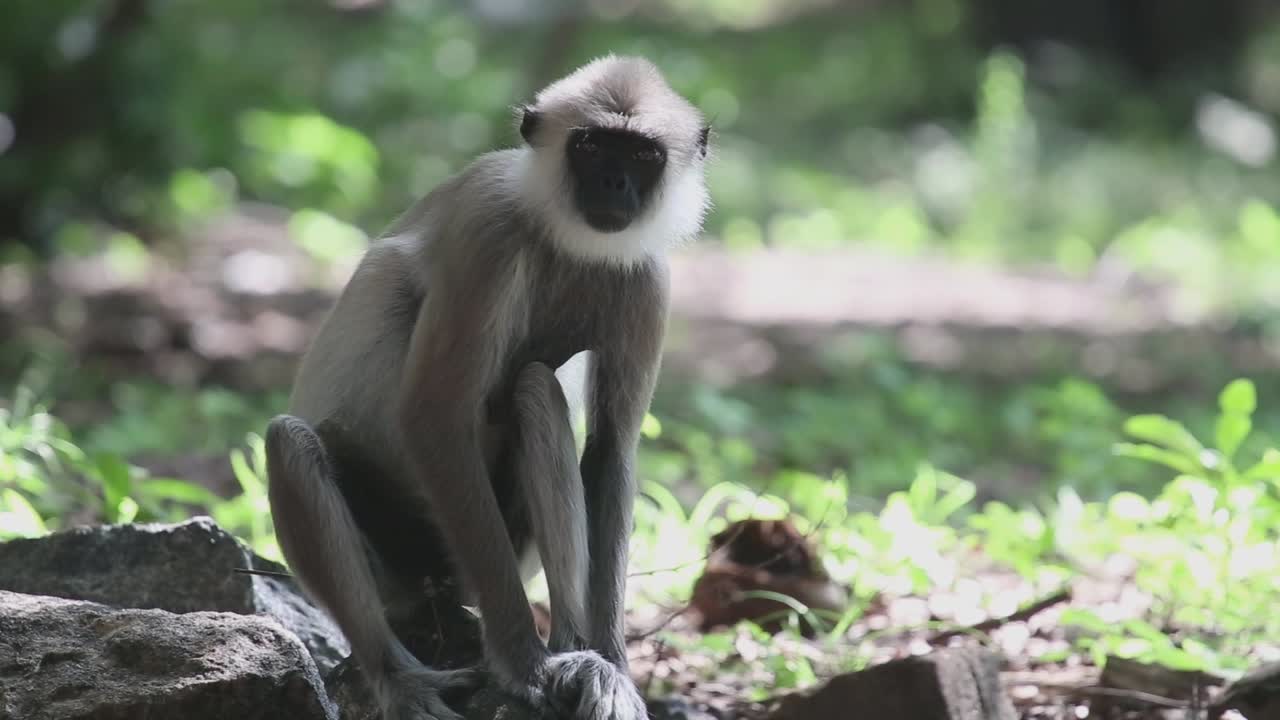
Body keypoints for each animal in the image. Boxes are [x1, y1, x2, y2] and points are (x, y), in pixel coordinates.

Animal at [263, 55, 711, 720]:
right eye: (591, 146)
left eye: (641, 154)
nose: (613, 185)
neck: (563, 236)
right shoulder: (489, 231)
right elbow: (433, 416)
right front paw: (523, 664)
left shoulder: (649, 278)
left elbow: (609, 450)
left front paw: (615, 668)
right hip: (408, 562)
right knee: (290, 443)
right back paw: (400, 678)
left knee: (535, 390)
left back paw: (576, 651)